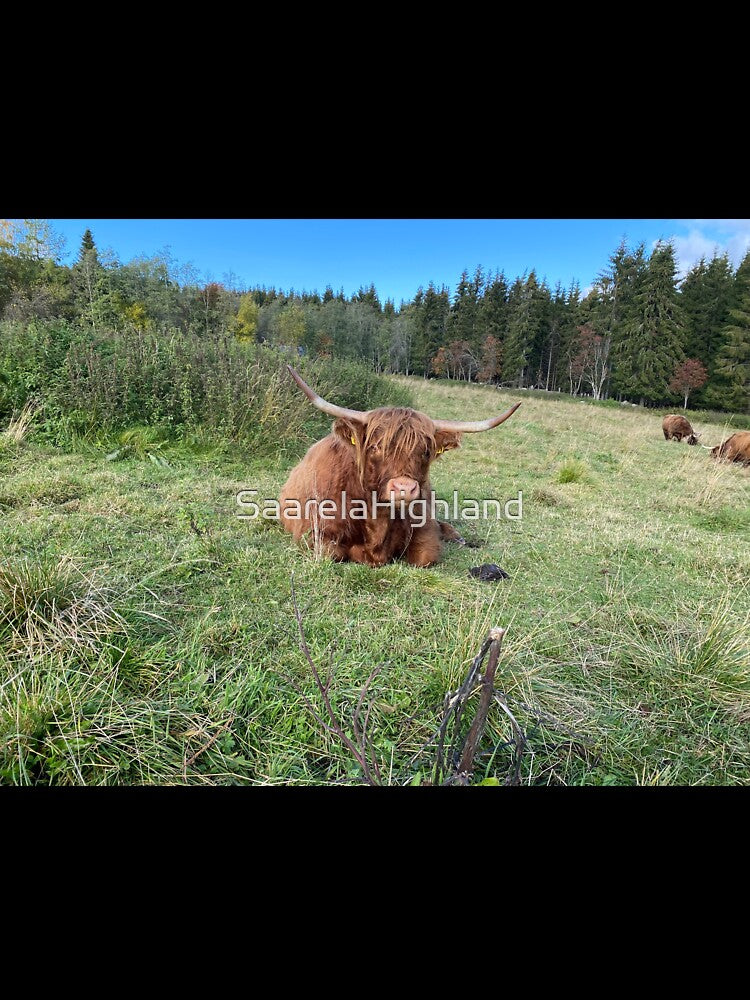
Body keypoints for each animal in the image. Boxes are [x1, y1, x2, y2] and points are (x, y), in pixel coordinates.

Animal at [279, 366, 521, 567]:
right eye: (375, 447)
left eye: (426, 451)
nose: (404, 488)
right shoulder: (314, 531)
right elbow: (331, 553)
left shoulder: (424, 528)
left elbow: (425, 556)